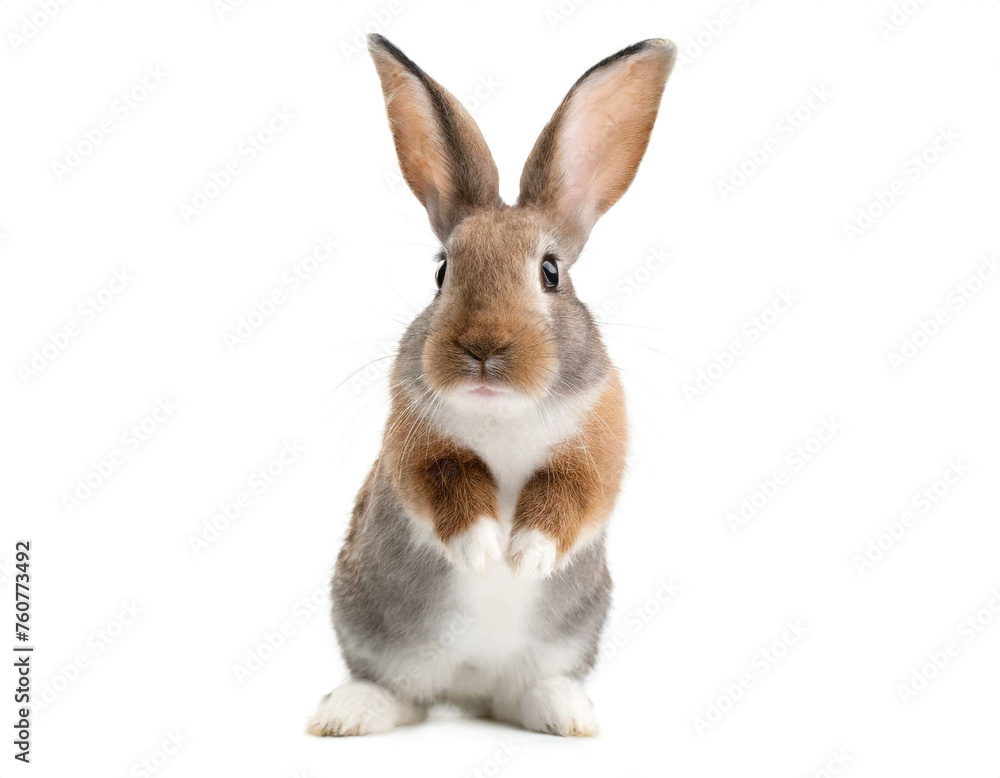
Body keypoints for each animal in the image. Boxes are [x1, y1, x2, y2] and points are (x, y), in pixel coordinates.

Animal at [308, 33, 676, 738]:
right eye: (442, 271)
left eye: (551, 272)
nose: (483, 350)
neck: (503, 413)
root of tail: (470, 684)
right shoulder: (417, 450)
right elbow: (451, 486)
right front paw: (484, 552)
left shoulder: (594, 453)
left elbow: (567, 499)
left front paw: (524, 557)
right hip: (375, 631)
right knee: (399, 692)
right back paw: (348, 713)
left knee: (527, 693)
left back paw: (568, 715)